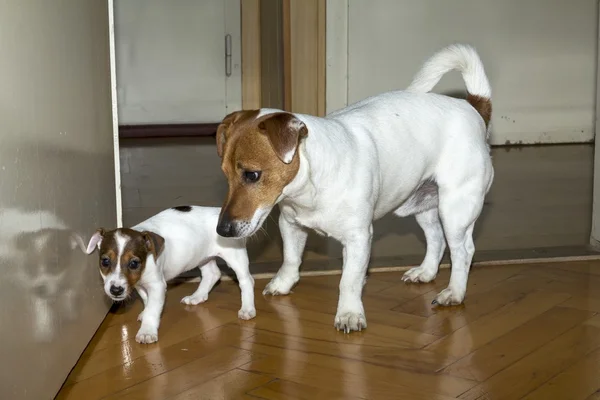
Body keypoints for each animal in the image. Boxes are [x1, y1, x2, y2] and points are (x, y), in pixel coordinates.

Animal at [85, 206, 253, 344]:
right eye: (105, 261)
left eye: (133, 263)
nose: (116, 290)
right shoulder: (140, 285)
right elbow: (147, 301)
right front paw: (145, 314)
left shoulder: (157, 286)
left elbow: (153, 309)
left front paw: (147, 331)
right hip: (202, 257)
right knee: (212, 274)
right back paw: (197, 297)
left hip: (235, 256)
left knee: (247, 281)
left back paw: (247, 309)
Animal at [213, 43, 494, 332]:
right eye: (225, 174)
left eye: (252, 175)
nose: (222, 230)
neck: (310, 188)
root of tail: (472, 106)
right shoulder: (291, 225)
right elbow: (291, 259)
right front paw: (283, 284)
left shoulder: (358, 239)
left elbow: (349, 280)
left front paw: (349, 313)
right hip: (424, 207)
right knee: (436, 239)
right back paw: (425, 272)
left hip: (456, 211)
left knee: (463, 252)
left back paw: (455, 293)